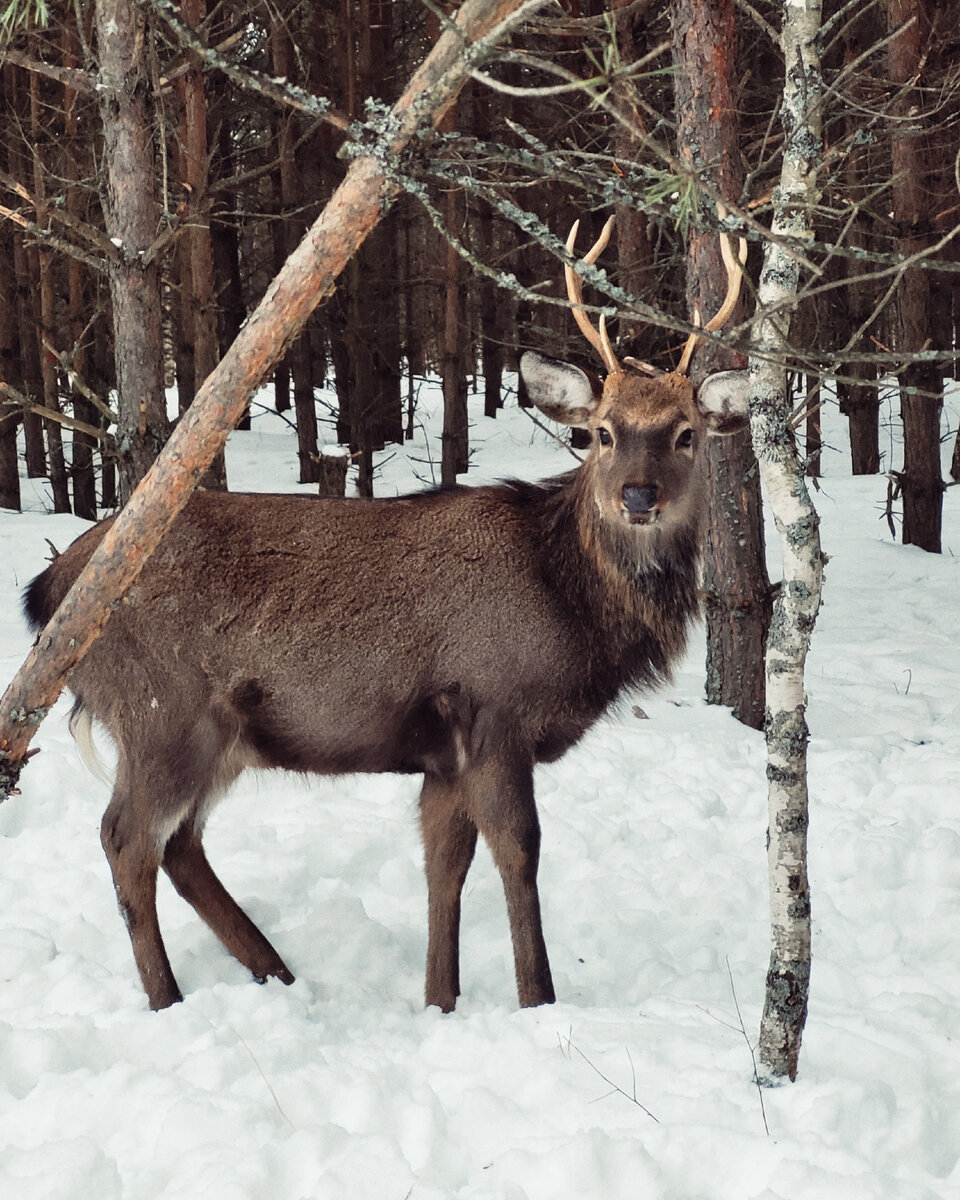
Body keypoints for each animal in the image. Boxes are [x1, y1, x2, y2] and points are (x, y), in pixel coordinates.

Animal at [22, 216, 748, 1012]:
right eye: (605, 432)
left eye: (686, 433)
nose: (638, 496)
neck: (572, 609)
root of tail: (49, 588)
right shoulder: (493, 709)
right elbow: (519, 853)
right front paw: (537, 998)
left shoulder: (441, 751)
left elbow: (445, 864)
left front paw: (440, 1000)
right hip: (162, 711)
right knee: (126, 839)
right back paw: (171, 999)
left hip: (214, 736)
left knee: (181, 846)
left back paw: (276, 972)